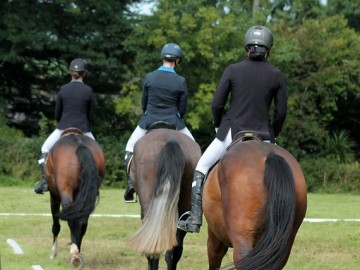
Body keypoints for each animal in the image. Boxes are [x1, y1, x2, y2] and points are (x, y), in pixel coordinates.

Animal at [44, 127, 105, 268]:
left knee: (71, 220)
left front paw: (53, 253)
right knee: (83, 222)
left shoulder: (54, 197)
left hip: (65, 192)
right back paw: (77, 254)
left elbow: (56, 226)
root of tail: (79, 144)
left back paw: (74, 253)